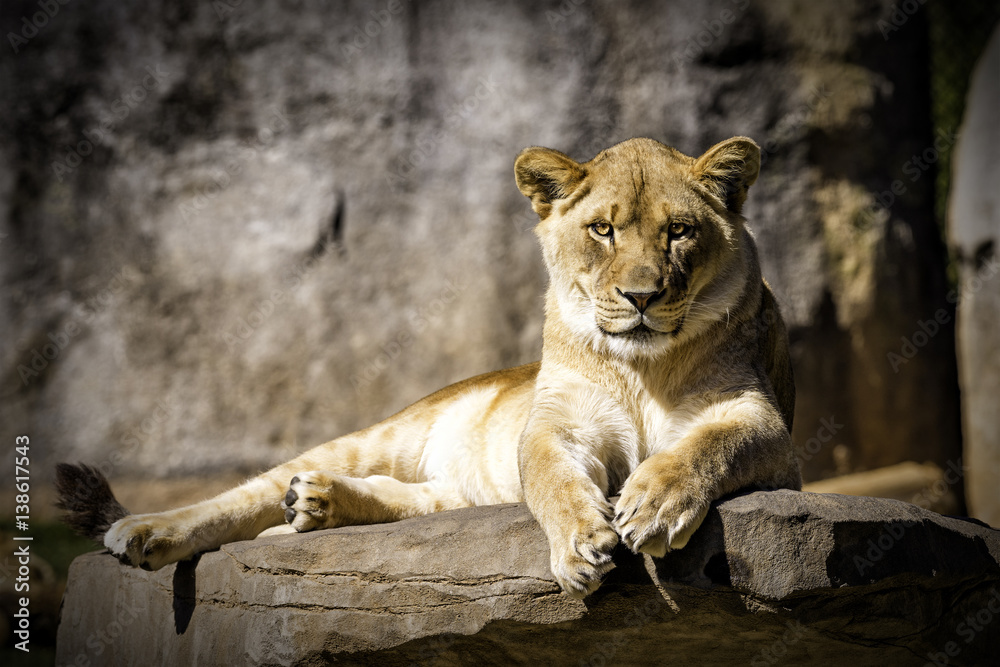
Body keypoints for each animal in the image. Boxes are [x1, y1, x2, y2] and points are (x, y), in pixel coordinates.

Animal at [57, 136, 800, 598]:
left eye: (679, 232)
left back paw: (316, 504)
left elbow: (710, 443)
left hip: (460, 492)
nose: (641, 296)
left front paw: (653, 503)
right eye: (603, 229)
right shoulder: (554, 426)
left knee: (411, 500)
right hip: (381, 434)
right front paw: (582, 543)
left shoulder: (765, 423)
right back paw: (149, 529)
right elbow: (551, 476)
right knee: (245, 494)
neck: (639, 368)